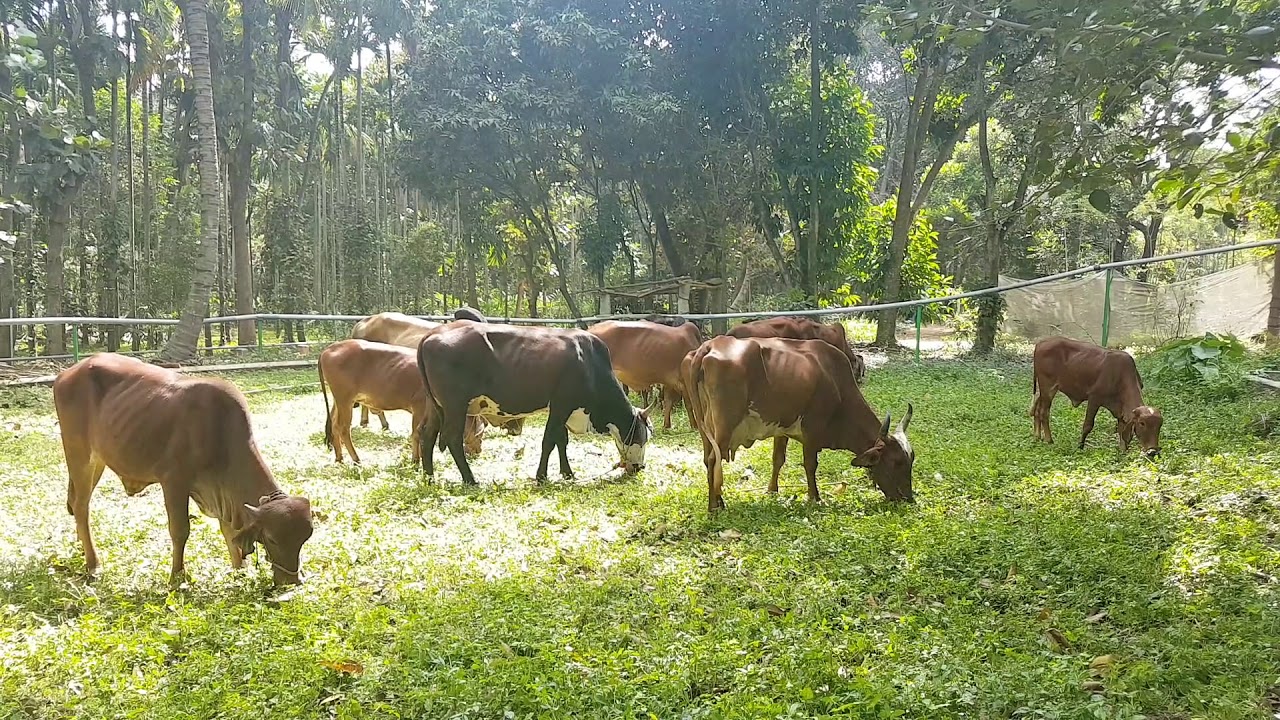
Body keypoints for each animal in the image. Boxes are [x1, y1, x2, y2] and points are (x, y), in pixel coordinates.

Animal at [52, 354, 315, 586]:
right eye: (272, 539)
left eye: (305, 539)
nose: (291, 581)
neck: (220, 432)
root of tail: (66, 373)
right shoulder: (174, 482)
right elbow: (180, 531)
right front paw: (177, 578)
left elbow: (228, 530)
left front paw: (240, 570)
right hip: (79, 453)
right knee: (81, 506)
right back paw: (93, 564)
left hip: (98, 460)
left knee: (76, 503)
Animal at [318, 339, 483, 465]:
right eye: (480, 436)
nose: (478, 451)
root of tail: (330, 348)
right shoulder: (419, 406)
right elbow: (416, 432)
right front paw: (416, 460)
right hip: (345, 399)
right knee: (343, 428)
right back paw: (356, 459)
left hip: (340, 400)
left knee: (333, 425)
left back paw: (339, 457)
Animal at [417, 323, 654, 485]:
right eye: (643, 436)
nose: (640, 467)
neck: (589, 364)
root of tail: (432, 334)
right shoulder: (561, 405)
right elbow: (549, 441)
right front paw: (541, 476)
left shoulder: (561, 410)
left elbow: (561, 440)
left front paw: (567, 473)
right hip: (455, 406)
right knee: (452, 439)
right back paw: (470, 479)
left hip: (435, 405)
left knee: (426, 434)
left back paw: (429, 477)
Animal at [683, 336, 914, 512]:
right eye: (896, 463)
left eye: (910, 461)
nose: (909, 499)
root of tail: (710, 345)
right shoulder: (812, 429)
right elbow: (810, 465)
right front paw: (815, 497)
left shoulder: (781, 429)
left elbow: (778, 459)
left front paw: (772, 491)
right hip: (725, 425)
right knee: (714, 459)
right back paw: (714, 507)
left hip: (705, 427)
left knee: (707, 459)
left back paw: (718, 500)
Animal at [1030, 336, 1163, 457]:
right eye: (1142, 423)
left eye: (1160, 425)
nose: (1153, 451)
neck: (1120, 377)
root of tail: (1040, 344)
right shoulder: (1094, 398)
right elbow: (1088, 425)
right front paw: (1080, 446)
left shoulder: (1121, 411)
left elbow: (1122, 431)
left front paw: (1123, 452)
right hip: (1047, 387)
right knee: (1044, 412)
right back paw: (1049, 440)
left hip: (1044, 391)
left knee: (1036, 409)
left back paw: (1037, 436)